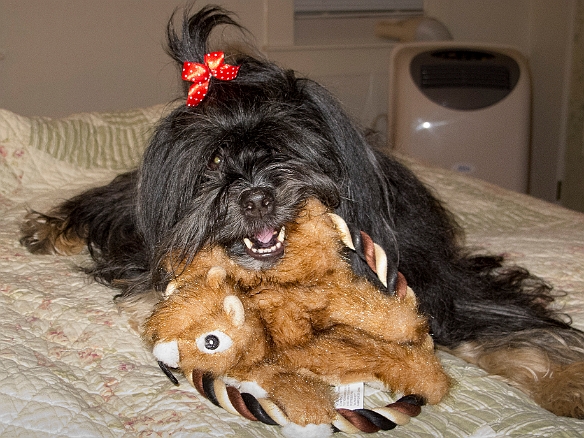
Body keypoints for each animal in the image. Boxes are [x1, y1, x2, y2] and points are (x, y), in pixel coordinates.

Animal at [20, 6, 580, 418]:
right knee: (99, 204)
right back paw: (46, 229)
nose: (255, 198)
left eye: (282, 149)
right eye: (214, 161)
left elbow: (518, 335)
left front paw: (567, 386)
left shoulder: (445, 284)